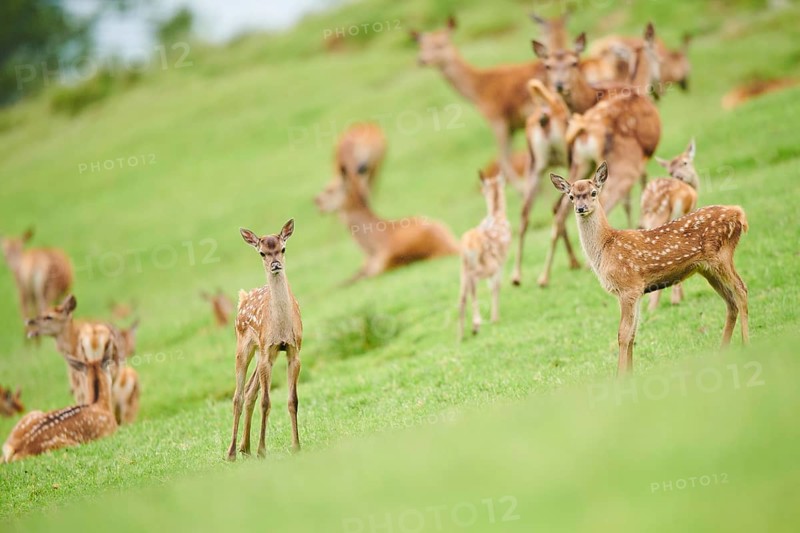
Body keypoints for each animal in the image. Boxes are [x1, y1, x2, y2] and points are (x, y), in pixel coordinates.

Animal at [227, 220, 303, 460]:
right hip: (245, 346)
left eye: (283, 248)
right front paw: (262, 450)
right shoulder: (268, 352)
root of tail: (243, 298)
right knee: (238, 396)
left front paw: (296, 446)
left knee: (250, 391)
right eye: (262, 253)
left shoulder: (293, 350)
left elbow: (292, 400)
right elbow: (266, 402)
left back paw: (245, 448)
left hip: (261, 352)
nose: (275, 264)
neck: (280, 329)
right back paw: (232, 452)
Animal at [315, 166, 459, 284]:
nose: (315, 201)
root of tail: (453, 245)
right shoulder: (365, 268)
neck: (372, 248)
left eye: (329, 190)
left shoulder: (381, 269)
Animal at [410, 16, 546, 181]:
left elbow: (504, 162)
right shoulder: (511, 127)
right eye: (421, 45)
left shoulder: (497, 120)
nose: (421, 60)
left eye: (441, 44)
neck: (477, 91)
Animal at [458, 171, 511, 341]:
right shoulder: (501, 261)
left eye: (483, 189)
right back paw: (476, 324)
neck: (497, 215)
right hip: (486, 265)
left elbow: (492, 286)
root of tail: (468, 245)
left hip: (462, 267)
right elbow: (496, 286)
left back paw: (461, 335)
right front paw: (495, 318)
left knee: (462, 295)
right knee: (473, 282)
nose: (481, 191)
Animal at [550, 162, 748, 375]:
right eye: (571, 196)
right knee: (731, 302)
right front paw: (630, 374)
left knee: (741, 290)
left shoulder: (628, 287)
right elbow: (632, 334)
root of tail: (738, 213)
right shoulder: (636, 291)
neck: (605, 248)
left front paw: (620, 375)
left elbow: (623, 334)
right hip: (707, 269)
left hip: (721, 256)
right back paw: (723, 351)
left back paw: (746, 344)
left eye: (593, 192)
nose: (581, 208)